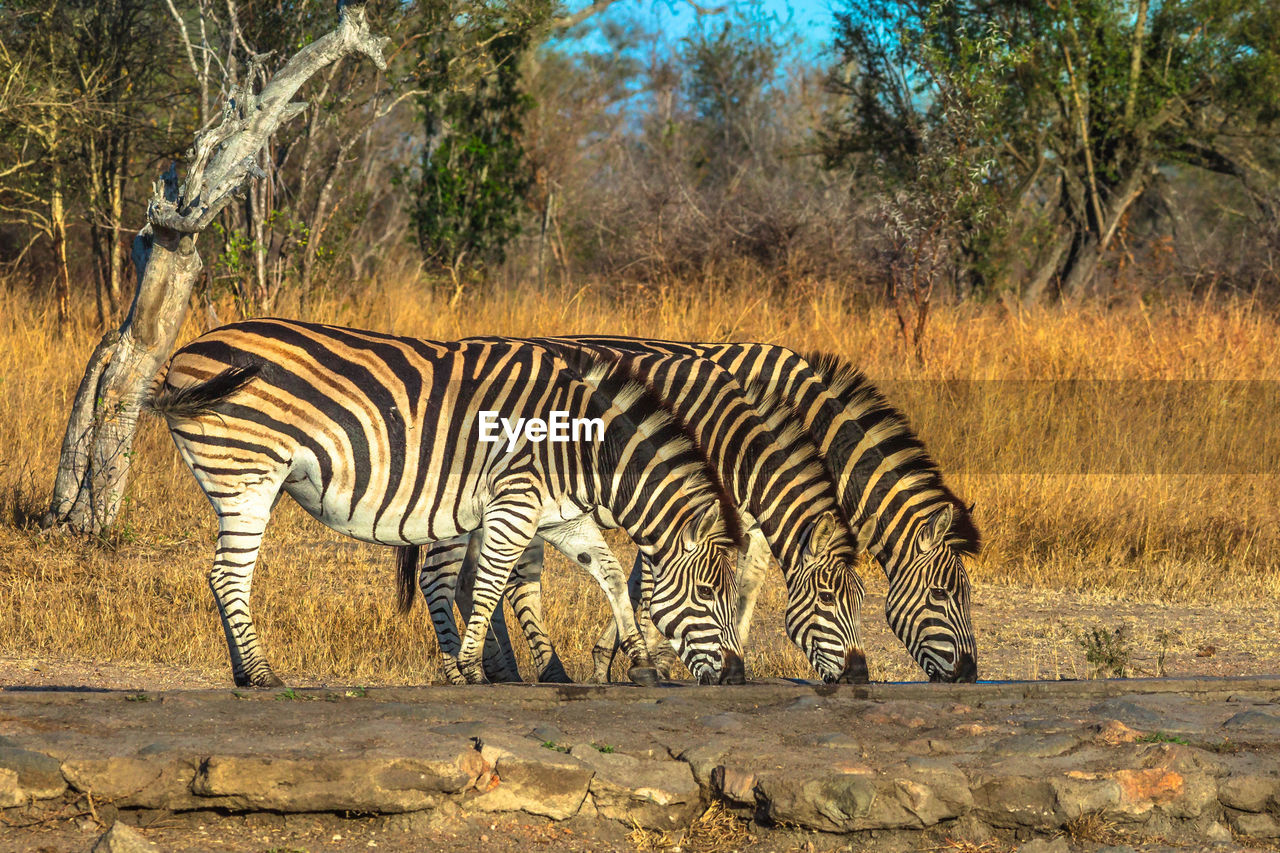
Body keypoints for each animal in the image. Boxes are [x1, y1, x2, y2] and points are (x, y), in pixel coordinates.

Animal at [147, 317, 747, 686]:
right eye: (707, 593)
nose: (738, 675)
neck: (580, 444)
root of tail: (183, 353)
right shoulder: (516, 500)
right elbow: (488, 585)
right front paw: (472, 668)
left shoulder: (558, 515)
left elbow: (608, 572)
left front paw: (641, 663)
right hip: (247, 474)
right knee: (228, 575)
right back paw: (263, 673)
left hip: (236, 479)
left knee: (221, 577)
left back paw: (243, 674)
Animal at [409, 343, 870, 681]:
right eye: (828, 600)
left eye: (861, 601)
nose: (859, 677)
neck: (730, 443)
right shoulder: (676, 510)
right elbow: (653, 585)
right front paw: (653, 657)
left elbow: (731, 584)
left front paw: (623, 657)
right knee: (444, 577)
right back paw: (476, 672)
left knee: (476, 579)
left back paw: (503, 670)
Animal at [547, 335, 977, 681]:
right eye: (941, 595)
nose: (970, 676)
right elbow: (656, 583)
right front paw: (655, 660)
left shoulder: (742, 521)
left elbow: (742, 589)